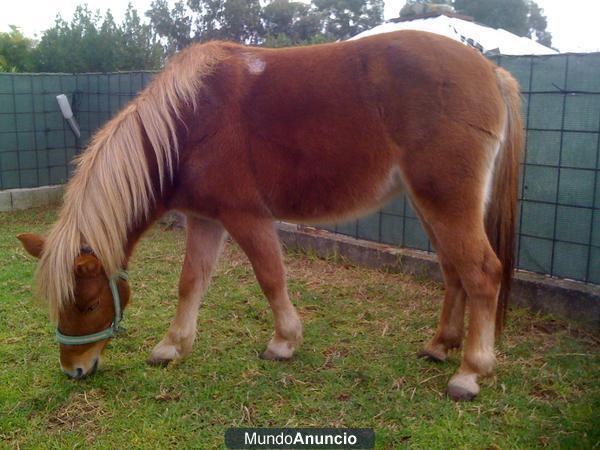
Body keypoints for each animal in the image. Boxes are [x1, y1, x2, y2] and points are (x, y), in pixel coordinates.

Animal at [16, 31, 524, 400]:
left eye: (86, 304)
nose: (74, 371)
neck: (188, 122)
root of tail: (491, 70)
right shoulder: (205, 219)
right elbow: (190, 282)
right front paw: (172, 346)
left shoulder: (246, 217)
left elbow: (270, 277)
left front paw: (284, 342)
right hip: (430, 204)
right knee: (453, 270)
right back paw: (440, 346)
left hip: (446, 201)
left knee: (482, 273)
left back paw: (470, 372)